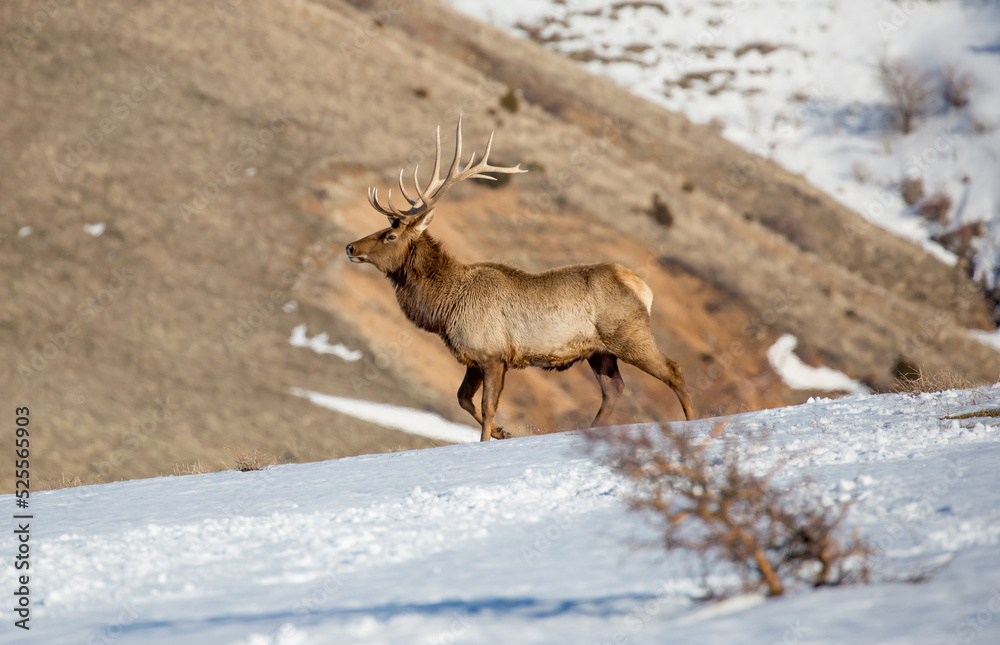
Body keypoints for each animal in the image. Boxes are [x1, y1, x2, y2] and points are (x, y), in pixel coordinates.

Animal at [345, 117, 696, 442]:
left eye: (389, 235)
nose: (350, 247)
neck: (444, 307)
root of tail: (642, 287)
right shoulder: (474, 358)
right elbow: (463, 400)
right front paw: (504, 432)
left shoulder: (492, 354)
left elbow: (486, 406)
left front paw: (489, 439)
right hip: (599, 351)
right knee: (614, 389)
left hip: (629, 334)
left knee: (674, 370)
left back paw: (693, 423)